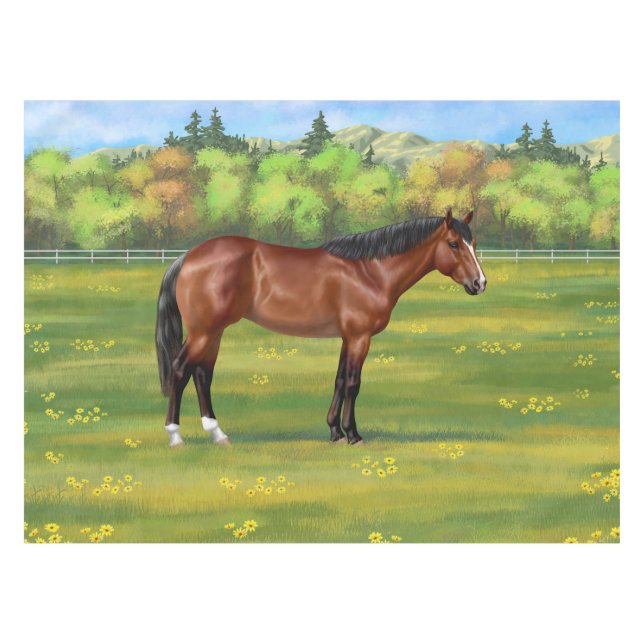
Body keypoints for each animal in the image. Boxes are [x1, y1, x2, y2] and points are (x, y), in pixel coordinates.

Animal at [155, 208, 487, 448]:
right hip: (204, 333)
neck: (370, 271)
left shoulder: (348, 337)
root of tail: (188, 257)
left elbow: (339, 380)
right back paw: (175, 436)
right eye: (453, 244)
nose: (480, 283)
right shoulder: (360, 337)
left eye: (473, 244)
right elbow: (353, 383)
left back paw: (218, 434)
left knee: (202, 374)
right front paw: (353, 435)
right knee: (181, 370)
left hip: (214, 332)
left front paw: (335, 431)